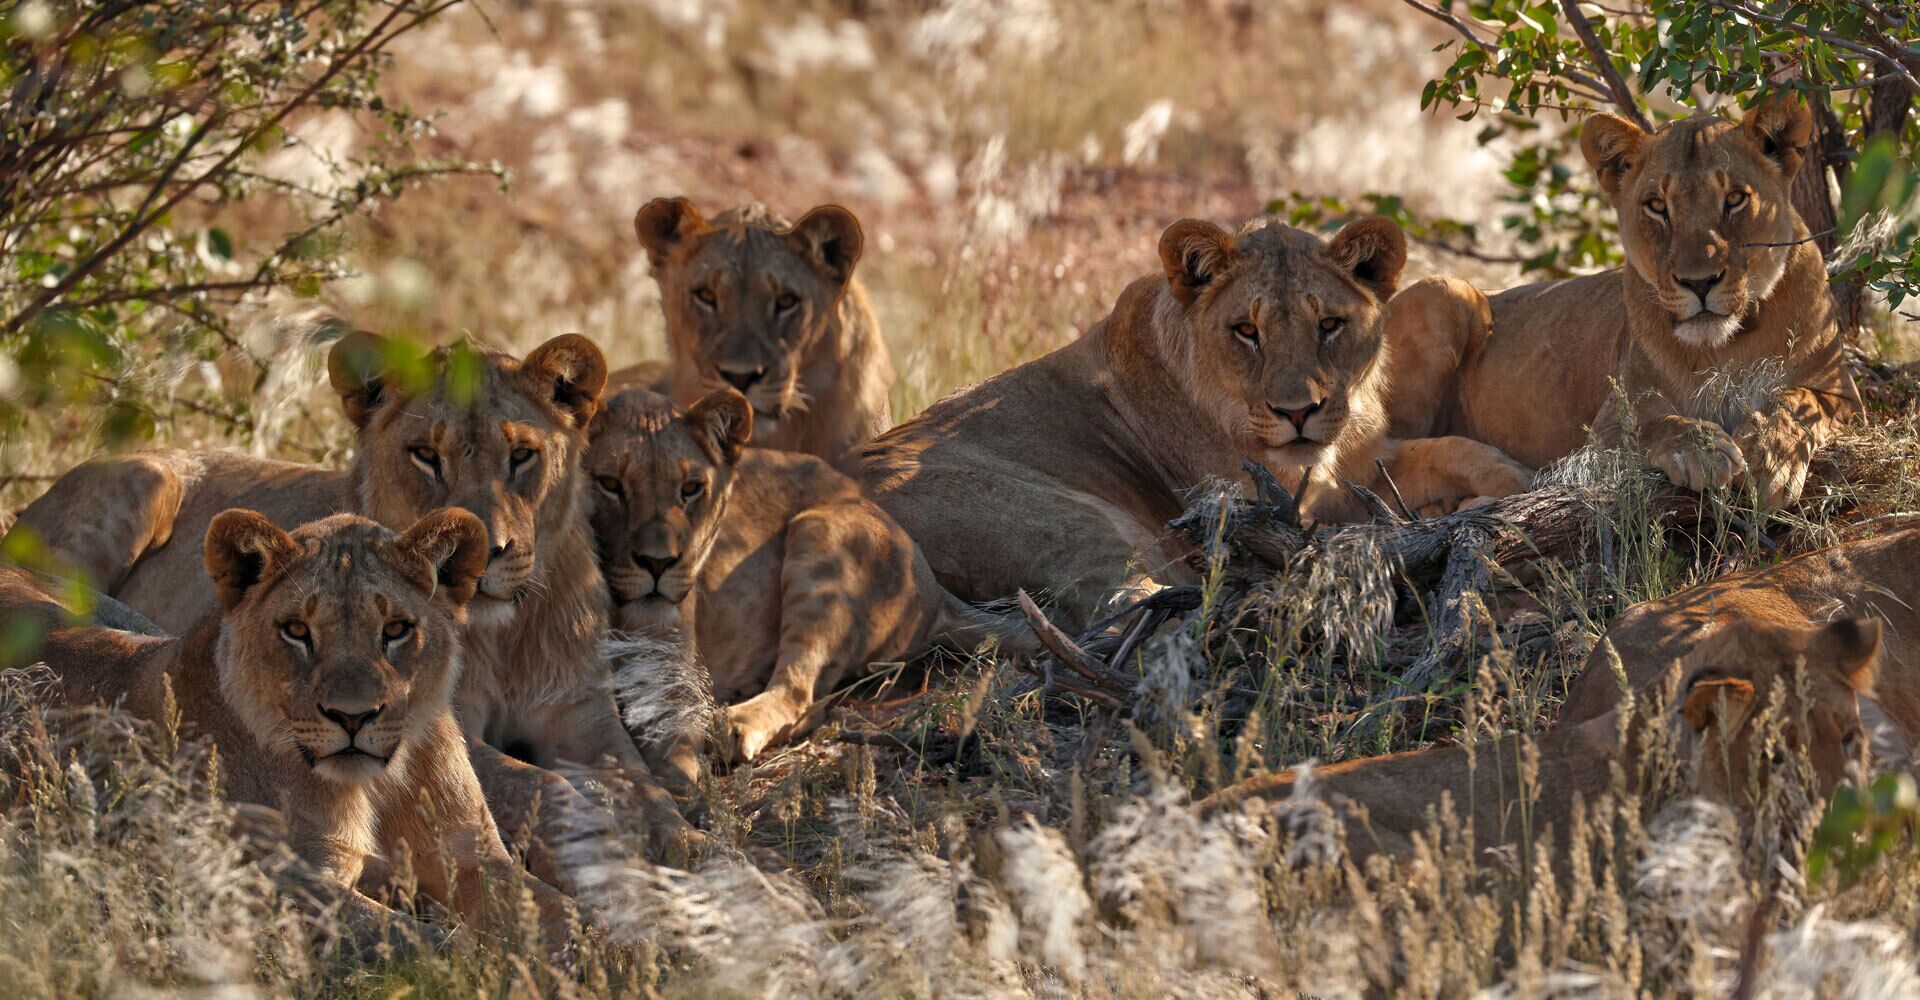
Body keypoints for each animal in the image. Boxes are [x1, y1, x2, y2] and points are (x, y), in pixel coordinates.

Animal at [0, 508, 576, 950]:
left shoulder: (472, 856)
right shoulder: (278, 877)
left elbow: (564, 915)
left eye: (395, 629)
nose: (352, 717)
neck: (377, 785)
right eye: (297, 630)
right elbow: (419, 942)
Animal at [6, 332, 698, 865]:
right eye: (425, 455)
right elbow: (536, 780)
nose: (487, 552)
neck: (507, 634)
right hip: (144, 482)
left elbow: (640, 781)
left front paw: (686, 841)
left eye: (522, 455)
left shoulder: (582, 710)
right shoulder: (442, 718)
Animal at [586, 387, 1030, 762]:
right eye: (610, 484)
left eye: (691, 489)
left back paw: (734, 724)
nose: (658, 563)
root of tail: (933, 585)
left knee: (802, 698)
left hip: (819, 531)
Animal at [860, 215, 1534, 626]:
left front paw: (1518, 488)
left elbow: (1453, 448)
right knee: (1132, 611)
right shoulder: (1283, 505)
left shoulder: (1360, 459)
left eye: (1329, 324)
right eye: (1246, 331)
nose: (1298, 413)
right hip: (1067, 522)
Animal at [1384, 98, 1858, 506]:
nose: (1699, 282)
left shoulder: (1845, 395)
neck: (1728, 345)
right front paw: (1702, 449)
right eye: (1657, 206)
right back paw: (1492, 476)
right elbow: (1652, 424)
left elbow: (1796, 402)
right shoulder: (1602, 432)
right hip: (1446, 291)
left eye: (1736, 198)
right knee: (1379, 460)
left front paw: (1769, 453)